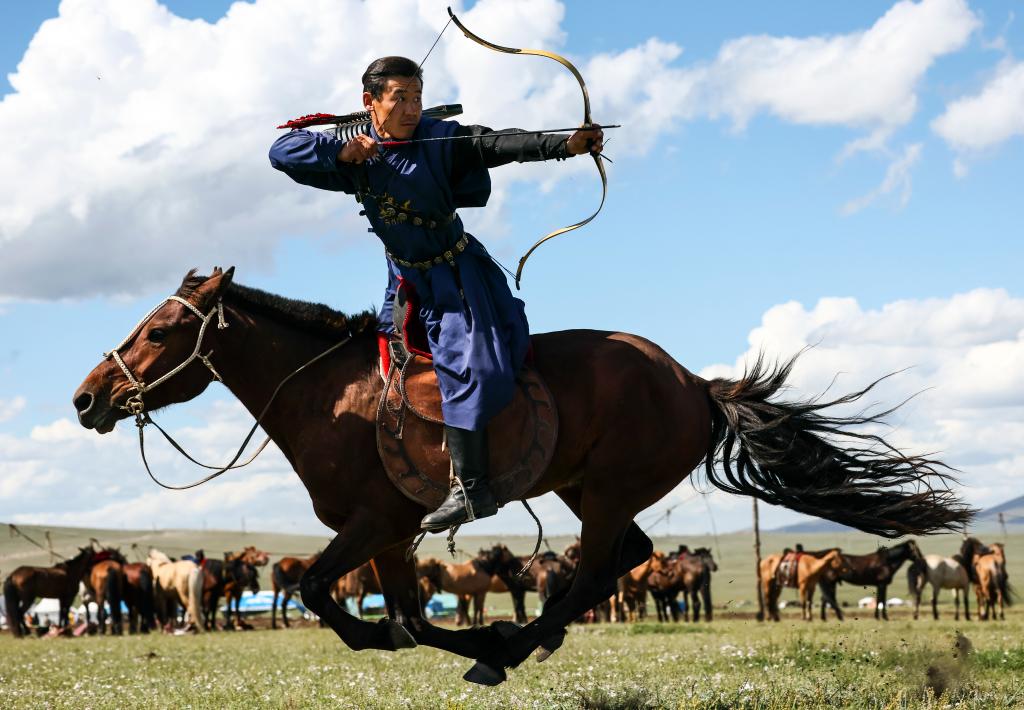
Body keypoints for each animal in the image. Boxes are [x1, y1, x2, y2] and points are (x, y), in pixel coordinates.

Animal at [70, 268, 966, 684]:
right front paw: (464, 636)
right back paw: (523, 638)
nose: (87, 397)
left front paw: (473, 639)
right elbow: (404, 617)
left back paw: (518, 641)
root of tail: (692, 383)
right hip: (585, 488)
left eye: (159, 331)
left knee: (597, 569)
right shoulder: (390, 537)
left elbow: (337, 600)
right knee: (626, 556)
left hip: (605, 491)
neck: (332, 397)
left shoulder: (373, 525)